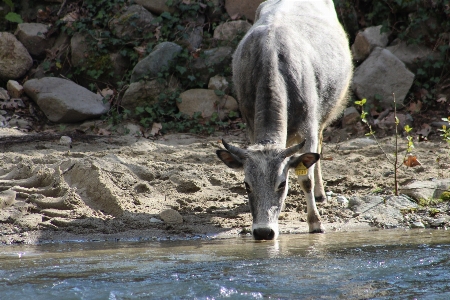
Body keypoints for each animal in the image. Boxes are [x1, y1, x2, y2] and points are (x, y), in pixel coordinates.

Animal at [216, 0, 354, 240]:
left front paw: (315, 222)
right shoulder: (250, 125)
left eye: (282, 184)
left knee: (319, 147)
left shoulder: (309, 127)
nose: (263, 232)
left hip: (325, 112)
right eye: (247, 185)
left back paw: (320, 193)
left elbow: (306, 178)